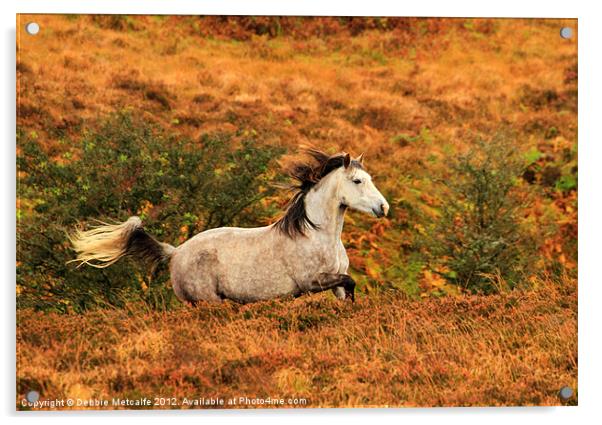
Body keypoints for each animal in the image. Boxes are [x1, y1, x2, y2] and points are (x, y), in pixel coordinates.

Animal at [69, 147, 390, 304]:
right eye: (357, 181)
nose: (383, 208)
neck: (317, 235)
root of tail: (175, 252)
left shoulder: (335, 283)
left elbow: (348, 289)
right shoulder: (312, 282)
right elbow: (350, 281)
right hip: (208, 302)